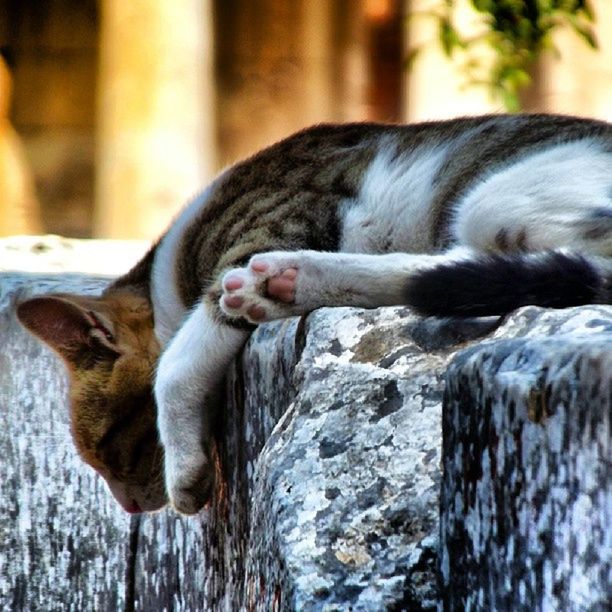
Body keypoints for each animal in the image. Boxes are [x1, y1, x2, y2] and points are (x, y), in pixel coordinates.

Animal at [16, 112, 608, 512]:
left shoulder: (266, 229)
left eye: (111, 448)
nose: (130, 507)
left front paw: (184, 468)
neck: (171, 273)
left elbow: (177, 367)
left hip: (497, 201)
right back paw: (287, 283)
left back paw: (279, 283)